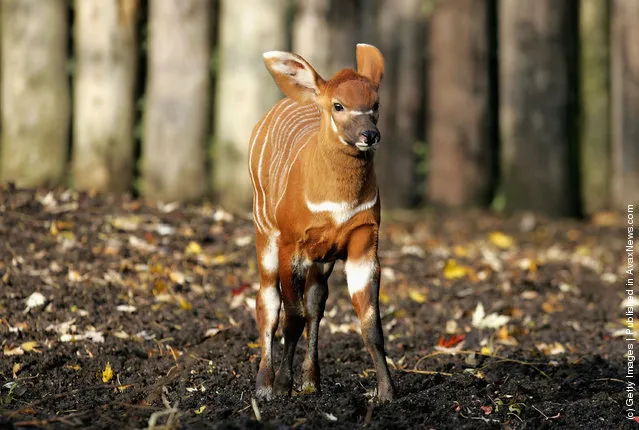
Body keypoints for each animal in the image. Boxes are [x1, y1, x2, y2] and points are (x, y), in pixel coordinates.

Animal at [250, 44, 396, 404]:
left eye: (375, 104)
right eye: (338, 105)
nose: (369, 135)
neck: (338, 204)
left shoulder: (362, 245)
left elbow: (370, 322)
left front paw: (386, 393)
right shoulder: (291, 245)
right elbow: (291, 317)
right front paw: (281, 387)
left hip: (322, 260)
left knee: (316, 304)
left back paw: (312, 382)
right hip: (265, 234)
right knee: (267, 301)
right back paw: (264, 384)